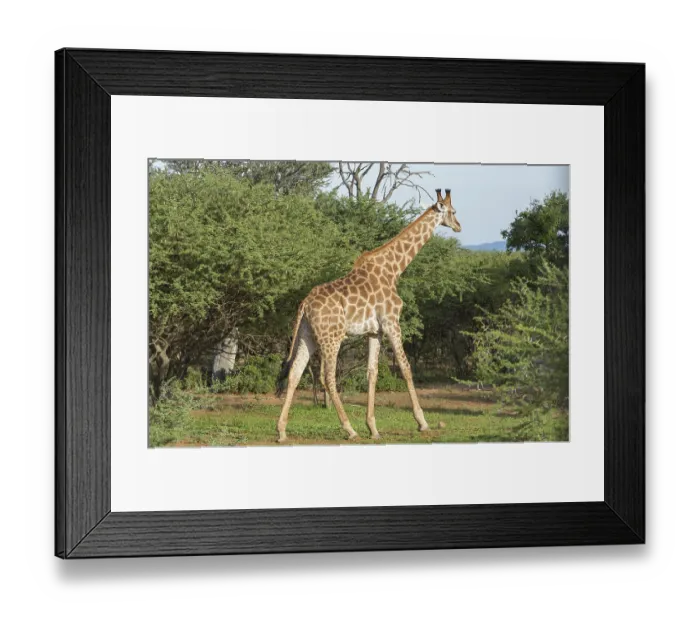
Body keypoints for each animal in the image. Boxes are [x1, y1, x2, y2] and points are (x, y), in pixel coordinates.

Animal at [275, 189, 461, 443]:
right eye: (453, 211)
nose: (459, 226)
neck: (393, 270)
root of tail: (304, 304)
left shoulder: (375, 331)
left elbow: (372, 373)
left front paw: (373, 428)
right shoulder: (392, 322)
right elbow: (405, 367)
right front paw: (422, 422)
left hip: (307, 335)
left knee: (295, 373)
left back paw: (281, 431)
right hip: (332, 337)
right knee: (327, 377)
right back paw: (349, 429)